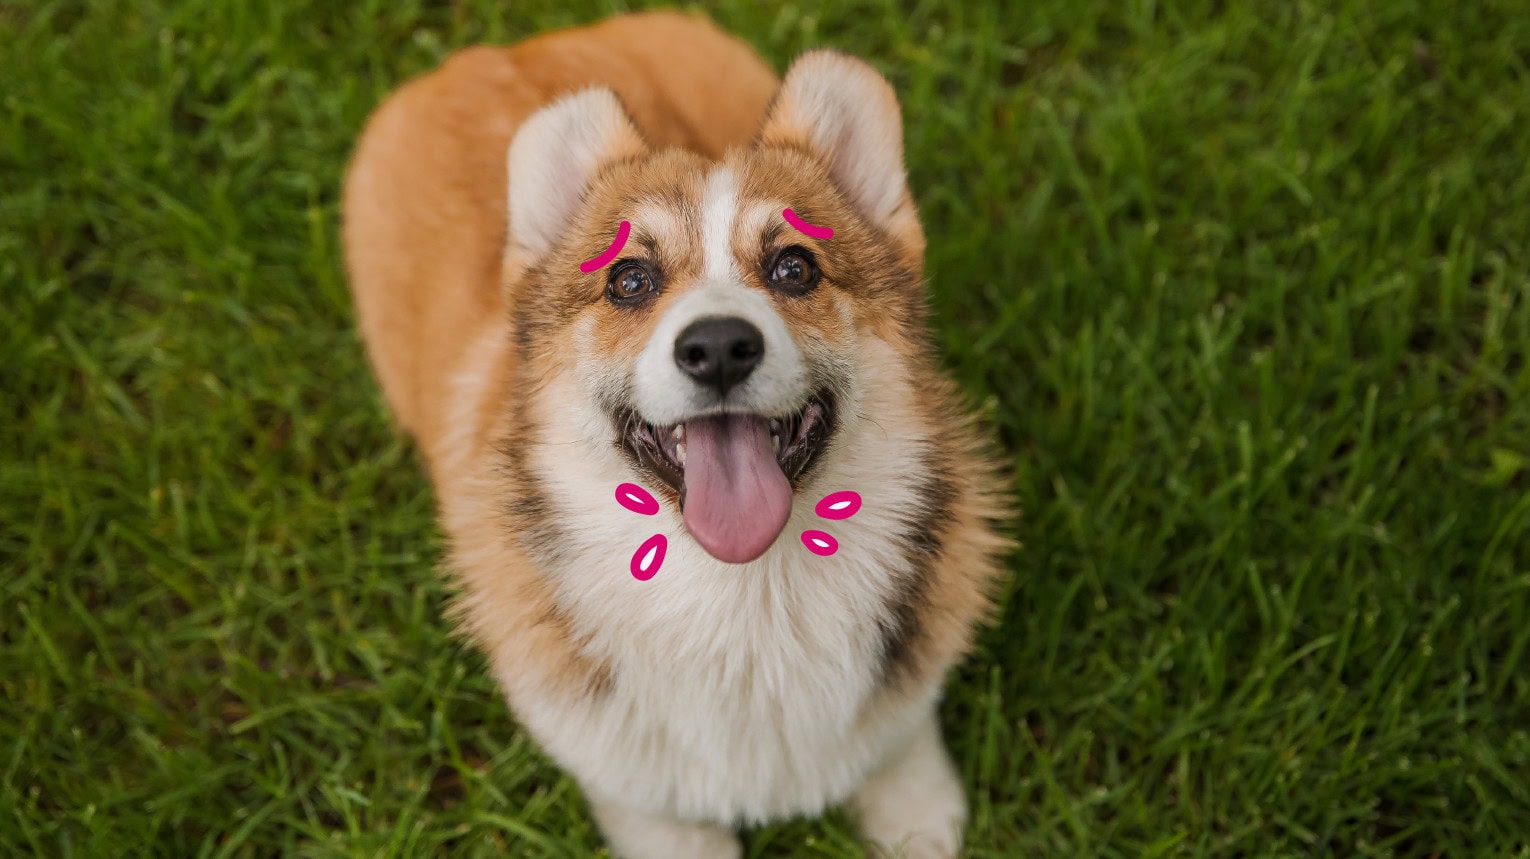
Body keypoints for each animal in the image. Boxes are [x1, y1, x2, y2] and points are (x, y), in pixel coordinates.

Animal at [347, 8, 1015, 857]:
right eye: (629, 279)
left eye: (795, 267)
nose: (720, 346)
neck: (744, 598)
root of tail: (497, 52)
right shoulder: (634, 785)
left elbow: (897, 743)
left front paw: (914, 815)